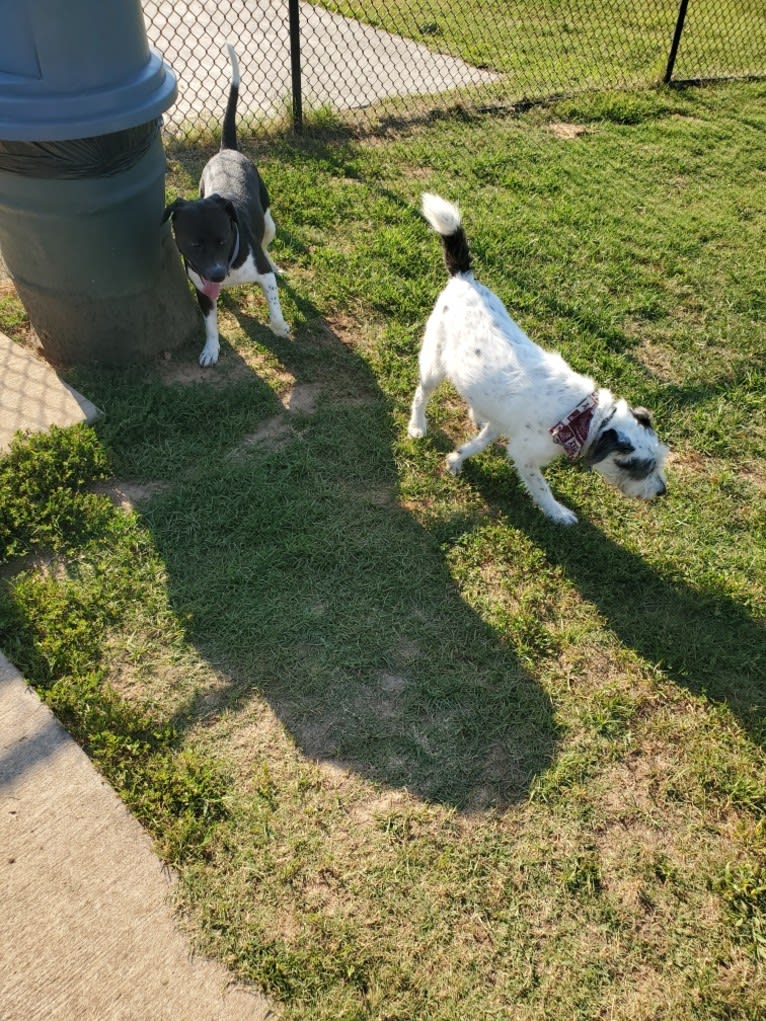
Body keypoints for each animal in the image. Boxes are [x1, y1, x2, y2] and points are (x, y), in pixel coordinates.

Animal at [165, 47, 290, 369]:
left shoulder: (261, 275)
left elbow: (273, 303)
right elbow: (210, 324)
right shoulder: (202, 291)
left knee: (267, 244)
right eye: (193, 244)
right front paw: (211, 349)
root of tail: (227, 149)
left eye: (224, 239)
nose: (218, 275)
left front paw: (280, 327)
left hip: (269, 224)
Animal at [410, 192, 669, 526]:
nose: (661, 491)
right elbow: (541, 488)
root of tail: (464, 277)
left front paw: (456, 459)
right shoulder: (525, 454)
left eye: (657, 460)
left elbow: (478, 443)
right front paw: (558, 512)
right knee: (421, 395)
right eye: (638, 466)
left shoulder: (502, 425)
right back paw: (417, 426)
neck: (582, 417)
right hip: (434, 362)